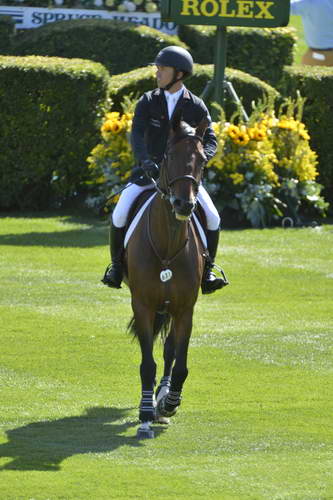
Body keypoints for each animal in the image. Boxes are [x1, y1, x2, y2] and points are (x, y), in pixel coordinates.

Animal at [123, 112, 209, 438]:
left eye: (202, 160)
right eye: (169, 156)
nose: (184, 204)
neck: (167, 246)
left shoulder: (185, 308)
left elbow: (179, 360)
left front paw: (169, 403)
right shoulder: (143, 305)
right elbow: (147, 363)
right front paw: (146, 413)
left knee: (170, 351)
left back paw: (163, 398)